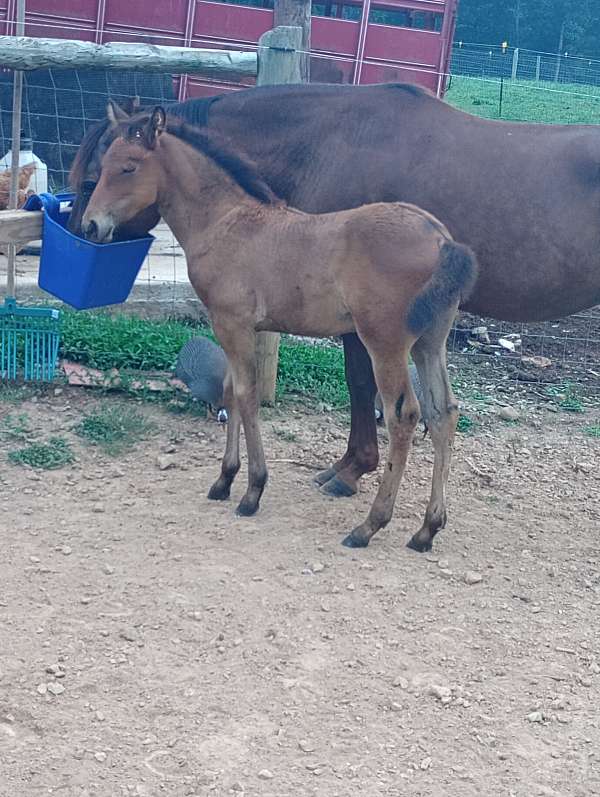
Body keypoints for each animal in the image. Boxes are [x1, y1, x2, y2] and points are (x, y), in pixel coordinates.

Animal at [68, 81, 600, 498]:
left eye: (104, 173)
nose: (83, 232)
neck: (328, 139)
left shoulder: (354, 324)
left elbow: (358, 384)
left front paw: (349, 471)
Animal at [83, 105, 478, 552]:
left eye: (128, 167)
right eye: (104, 163)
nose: (91, 225)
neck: (225, 221)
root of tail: (442, 240)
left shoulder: (231, 322)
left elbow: (245, 395)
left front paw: (252, 490)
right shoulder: (243, 327)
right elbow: (230, 392)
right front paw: (224, 480)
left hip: (385, 342)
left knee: (404, 416)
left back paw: (369, 525)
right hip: (430, 342)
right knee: (444, 412)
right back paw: (427, 528)